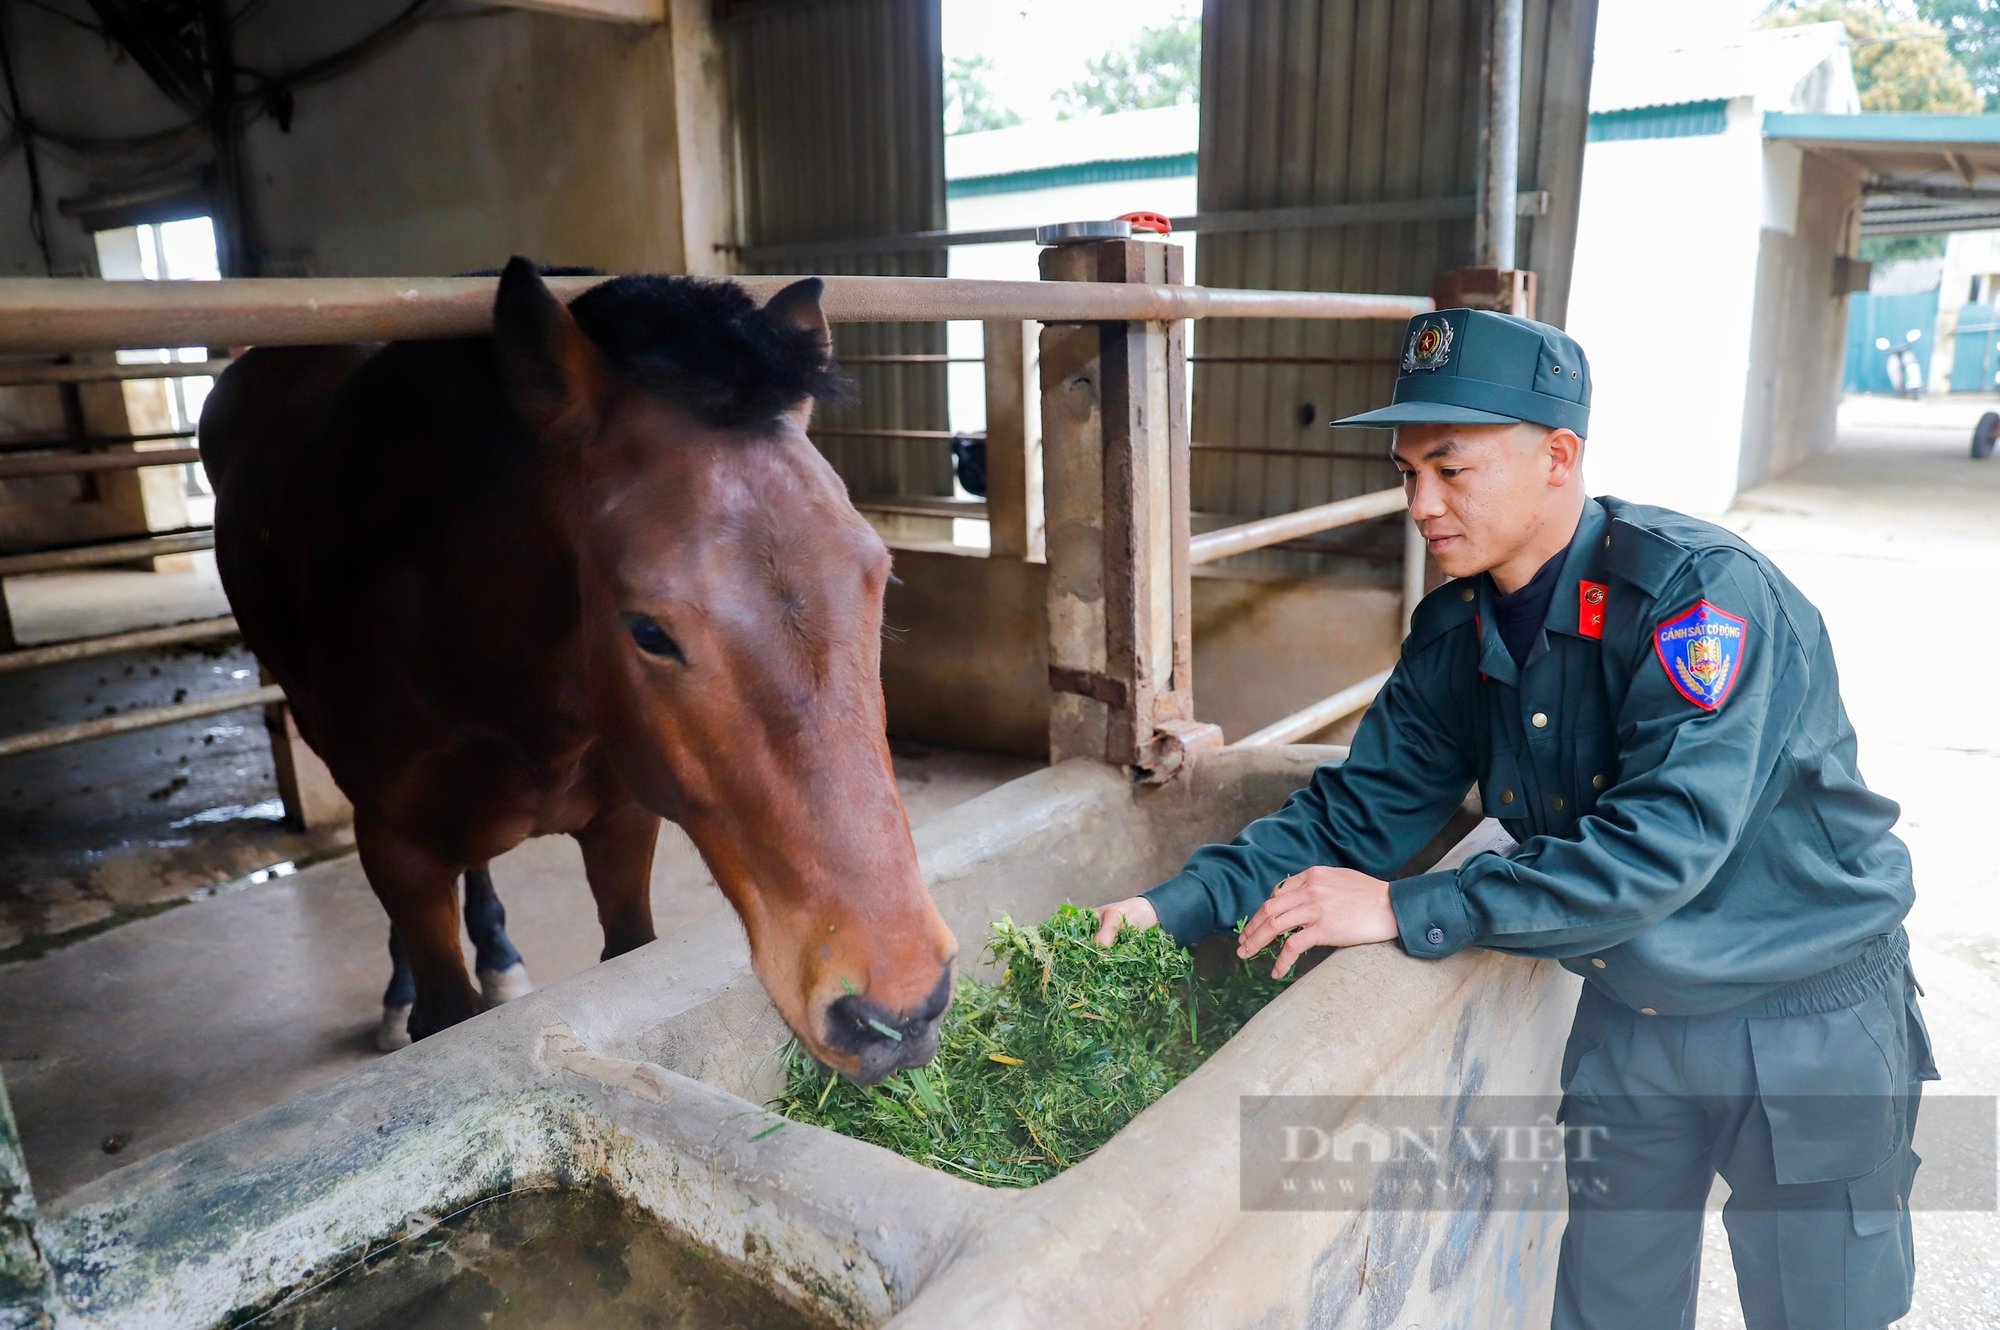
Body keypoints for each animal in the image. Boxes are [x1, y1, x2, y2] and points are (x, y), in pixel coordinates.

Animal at [195, 256, 960, 1080]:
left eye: (879, 574)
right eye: (648, 631)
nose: (900, 1009)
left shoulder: (624, 825)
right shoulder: (402, 851)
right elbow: (440, 1001)